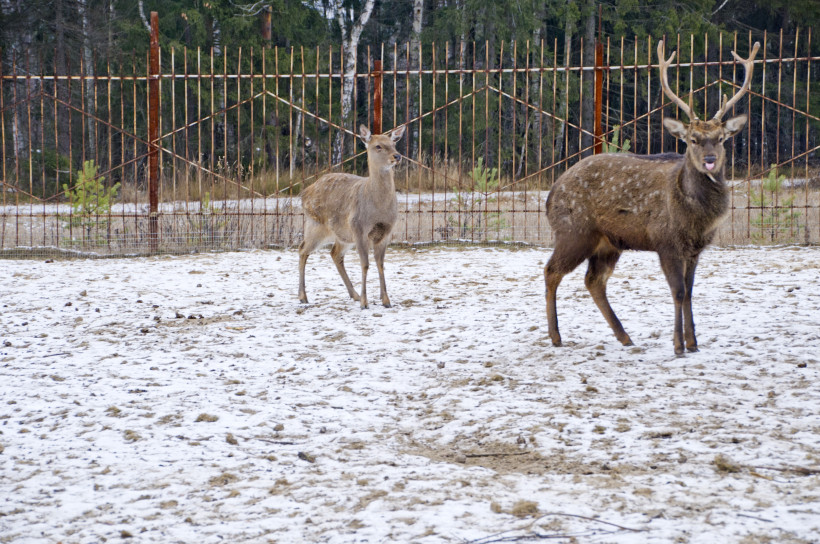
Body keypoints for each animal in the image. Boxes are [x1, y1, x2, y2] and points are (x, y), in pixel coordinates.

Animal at [544, 37, 764, 352]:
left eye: (721, 139)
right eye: (692, 139)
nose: (710, 159)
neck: (697, 218)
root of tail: (550, 195)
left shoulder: (695, 249)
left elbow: (690, 292)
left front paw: (693, 342)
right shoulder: (666, 241)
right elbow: (678, 291)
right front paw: (678, 345)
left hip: (608, 243)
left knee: (594, 280)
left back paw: (624, 336)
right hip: (574, 231)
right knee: (552, 271)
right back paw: (556, 336)